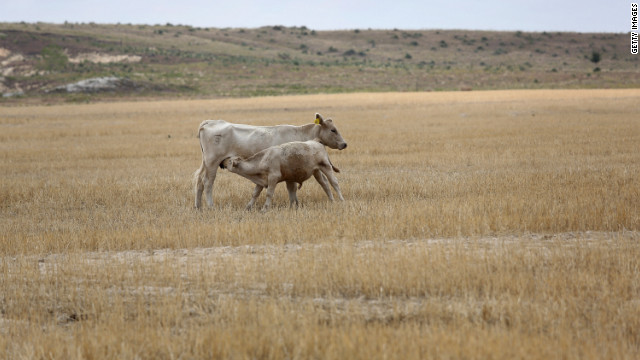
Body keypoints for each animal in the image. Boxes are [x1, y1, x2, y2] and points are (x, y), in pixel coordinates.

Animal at [192, 112, 348, 208]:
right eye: (333, 130)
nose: (344, 144)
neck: (300, 134)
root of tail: (209, 122)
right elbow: (292, 187)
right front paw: (294, 204)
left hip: (206, 163)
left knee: (199, 183)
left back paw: (198, 207)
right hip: (212, 163)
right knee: (208, 183)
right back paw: (211, 206)